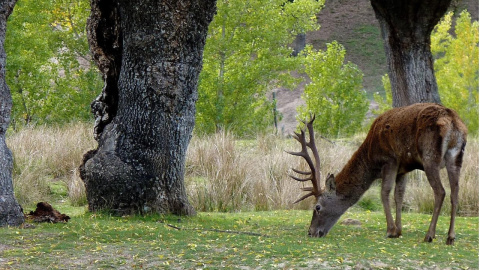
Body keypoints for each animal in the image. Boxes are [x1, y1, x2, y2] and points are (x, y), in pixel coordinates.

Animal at [288, 103, 468, 245]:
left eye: (317, 207)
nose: (311, 232)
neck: (370, 158)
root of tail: (453, 123)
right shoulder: (403, 168)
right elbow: (399, 195)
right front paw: (399, 230)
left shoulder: (389, 160)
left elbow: (384, 192)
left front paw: (390, 230)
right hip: (456, 158)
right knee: (455, 193)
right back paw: (450, 237)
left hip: (430, 156)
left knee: (440, 191)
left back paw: (429, 235)